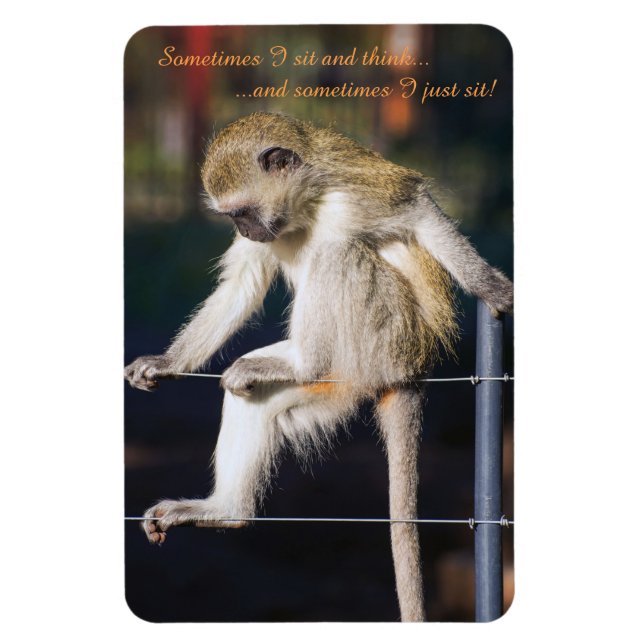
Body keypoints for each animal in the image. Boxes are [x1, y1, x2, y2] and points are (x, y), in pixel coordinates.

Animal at [124, 112, 513, 622]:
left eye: (242, 211)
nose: (245, 231)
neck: (305, 205)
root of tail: (414, 367)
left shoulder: (354, 195)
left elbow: (418, 209)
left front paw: (490, 286)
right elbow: (241, 285)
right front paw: (166, 362)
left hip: (385, 339)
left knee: (337, 253)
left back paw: (305, 361)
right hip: (346, 381)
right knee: (252, 396)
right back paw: (226, 508)